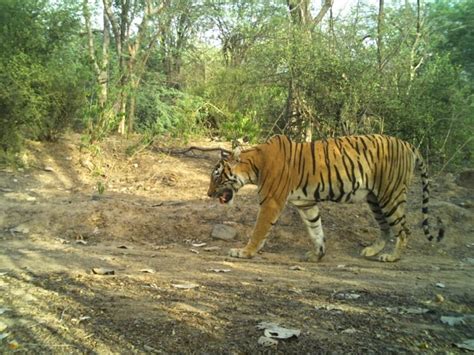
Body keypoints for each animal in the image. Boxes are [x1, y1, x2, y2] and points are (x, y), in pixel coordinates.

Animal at [207, 135, 444, 262]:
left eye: (217, 177)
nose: (209, 194)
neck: (254, 166)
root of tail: (407, 144)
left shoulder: (271, 202)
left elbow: (259, 231)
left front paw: (244, 252)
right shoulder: (306, 203)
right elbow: (316, 230)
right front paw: (317, 255)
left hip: (390, 195)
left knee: (404, 229)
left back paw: (392, 257)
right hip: (375, 199)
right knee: (385, 227)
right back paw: (372, 250)